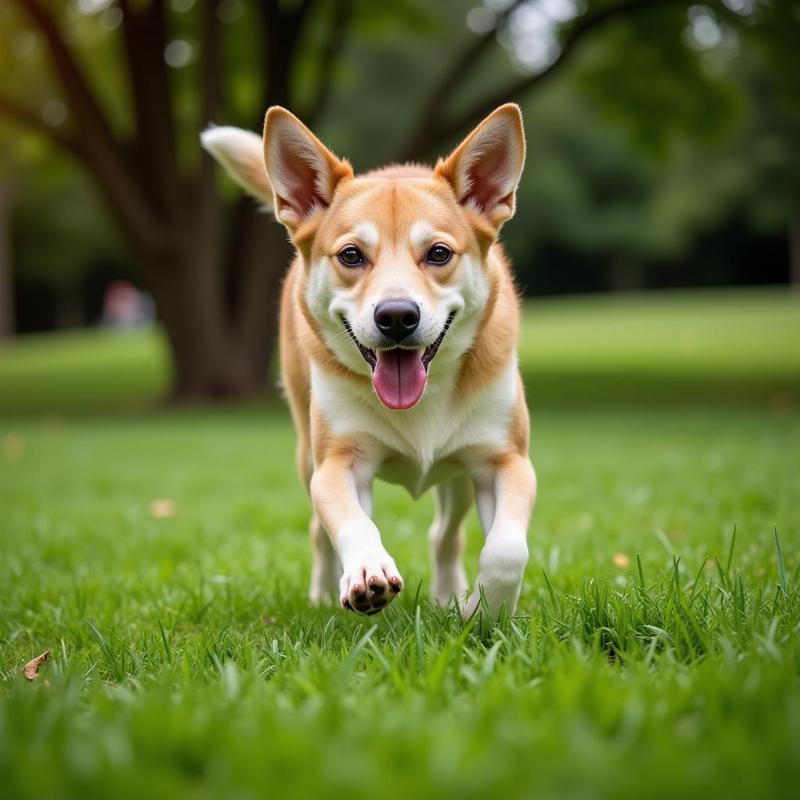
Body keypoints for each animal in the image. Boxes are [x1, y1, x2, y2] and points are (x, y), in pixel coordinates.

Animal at [200, 101, 536, 620]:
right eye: (352, 255)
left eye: (439, 253)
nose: (396, 316)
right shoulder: (338, 461)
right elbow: (352, 522)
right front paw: (366, 572)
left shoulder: (506, 458)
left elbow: (507, 550)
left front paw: (484, 611)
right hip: (306, 451)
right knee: (322, 529)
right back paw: (324, 595)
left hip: (458, 471)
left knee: (445, 533)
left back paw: (448, 595)